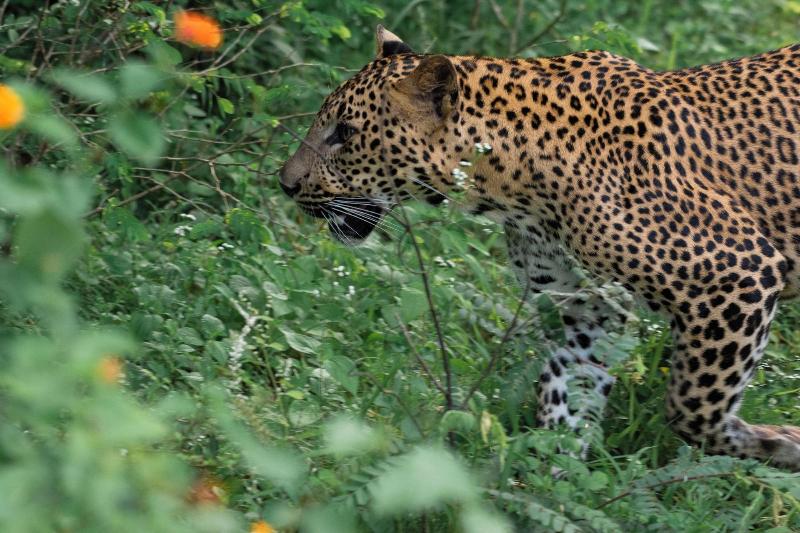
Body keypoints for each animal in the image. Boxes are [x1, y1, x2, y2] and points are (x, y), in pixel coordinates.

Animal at [279, 25, 800, 470]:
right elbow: (565, 390)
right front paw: (552, 480)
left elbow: (692, 406)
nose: (284, 184)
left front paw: (779, 443)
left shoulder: (737, 273)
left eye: (345, 133)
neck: (513, 183)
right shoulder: (583, 307)